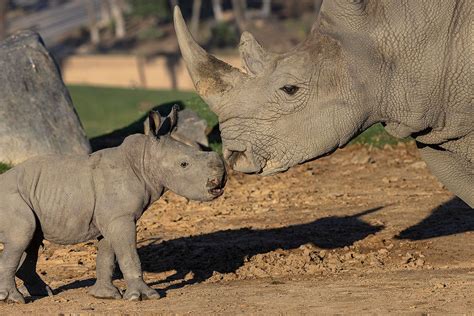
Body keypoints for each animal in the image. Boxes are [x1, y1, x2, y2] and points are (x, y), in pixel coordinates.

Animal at [0, 107, 227, 304]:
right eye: (184, 164)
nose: (220, 181)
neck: (143, 159)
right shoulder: (120, 216)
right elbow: (129, 254)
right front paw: (143, 297)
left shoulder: (112, 217)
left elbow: (107, 256)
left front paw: (105, 295)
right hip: (10, 198)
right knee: (23, 234)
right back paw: (14, 300)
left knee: (32, 239)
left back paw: (43, 293)